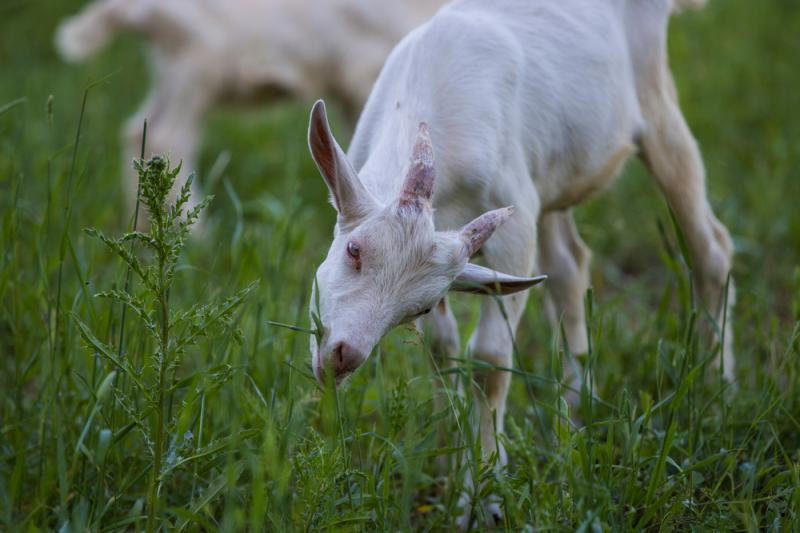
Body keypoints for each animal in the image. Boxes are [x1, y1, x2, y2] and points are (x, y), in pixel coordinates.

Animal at [310, 0, 736, 520]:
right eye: (354, 250)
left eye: (419, 306)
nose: (343, 356)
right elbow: (442, 349)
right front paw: (447, 455)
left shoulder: (513, 223)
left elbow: (490, 358)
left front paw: (481, 494)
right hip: (551, 174)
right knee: (570, 266)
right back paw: (573, 415)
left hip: (654, 104)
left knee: (710, 247)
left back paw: (717, 394)